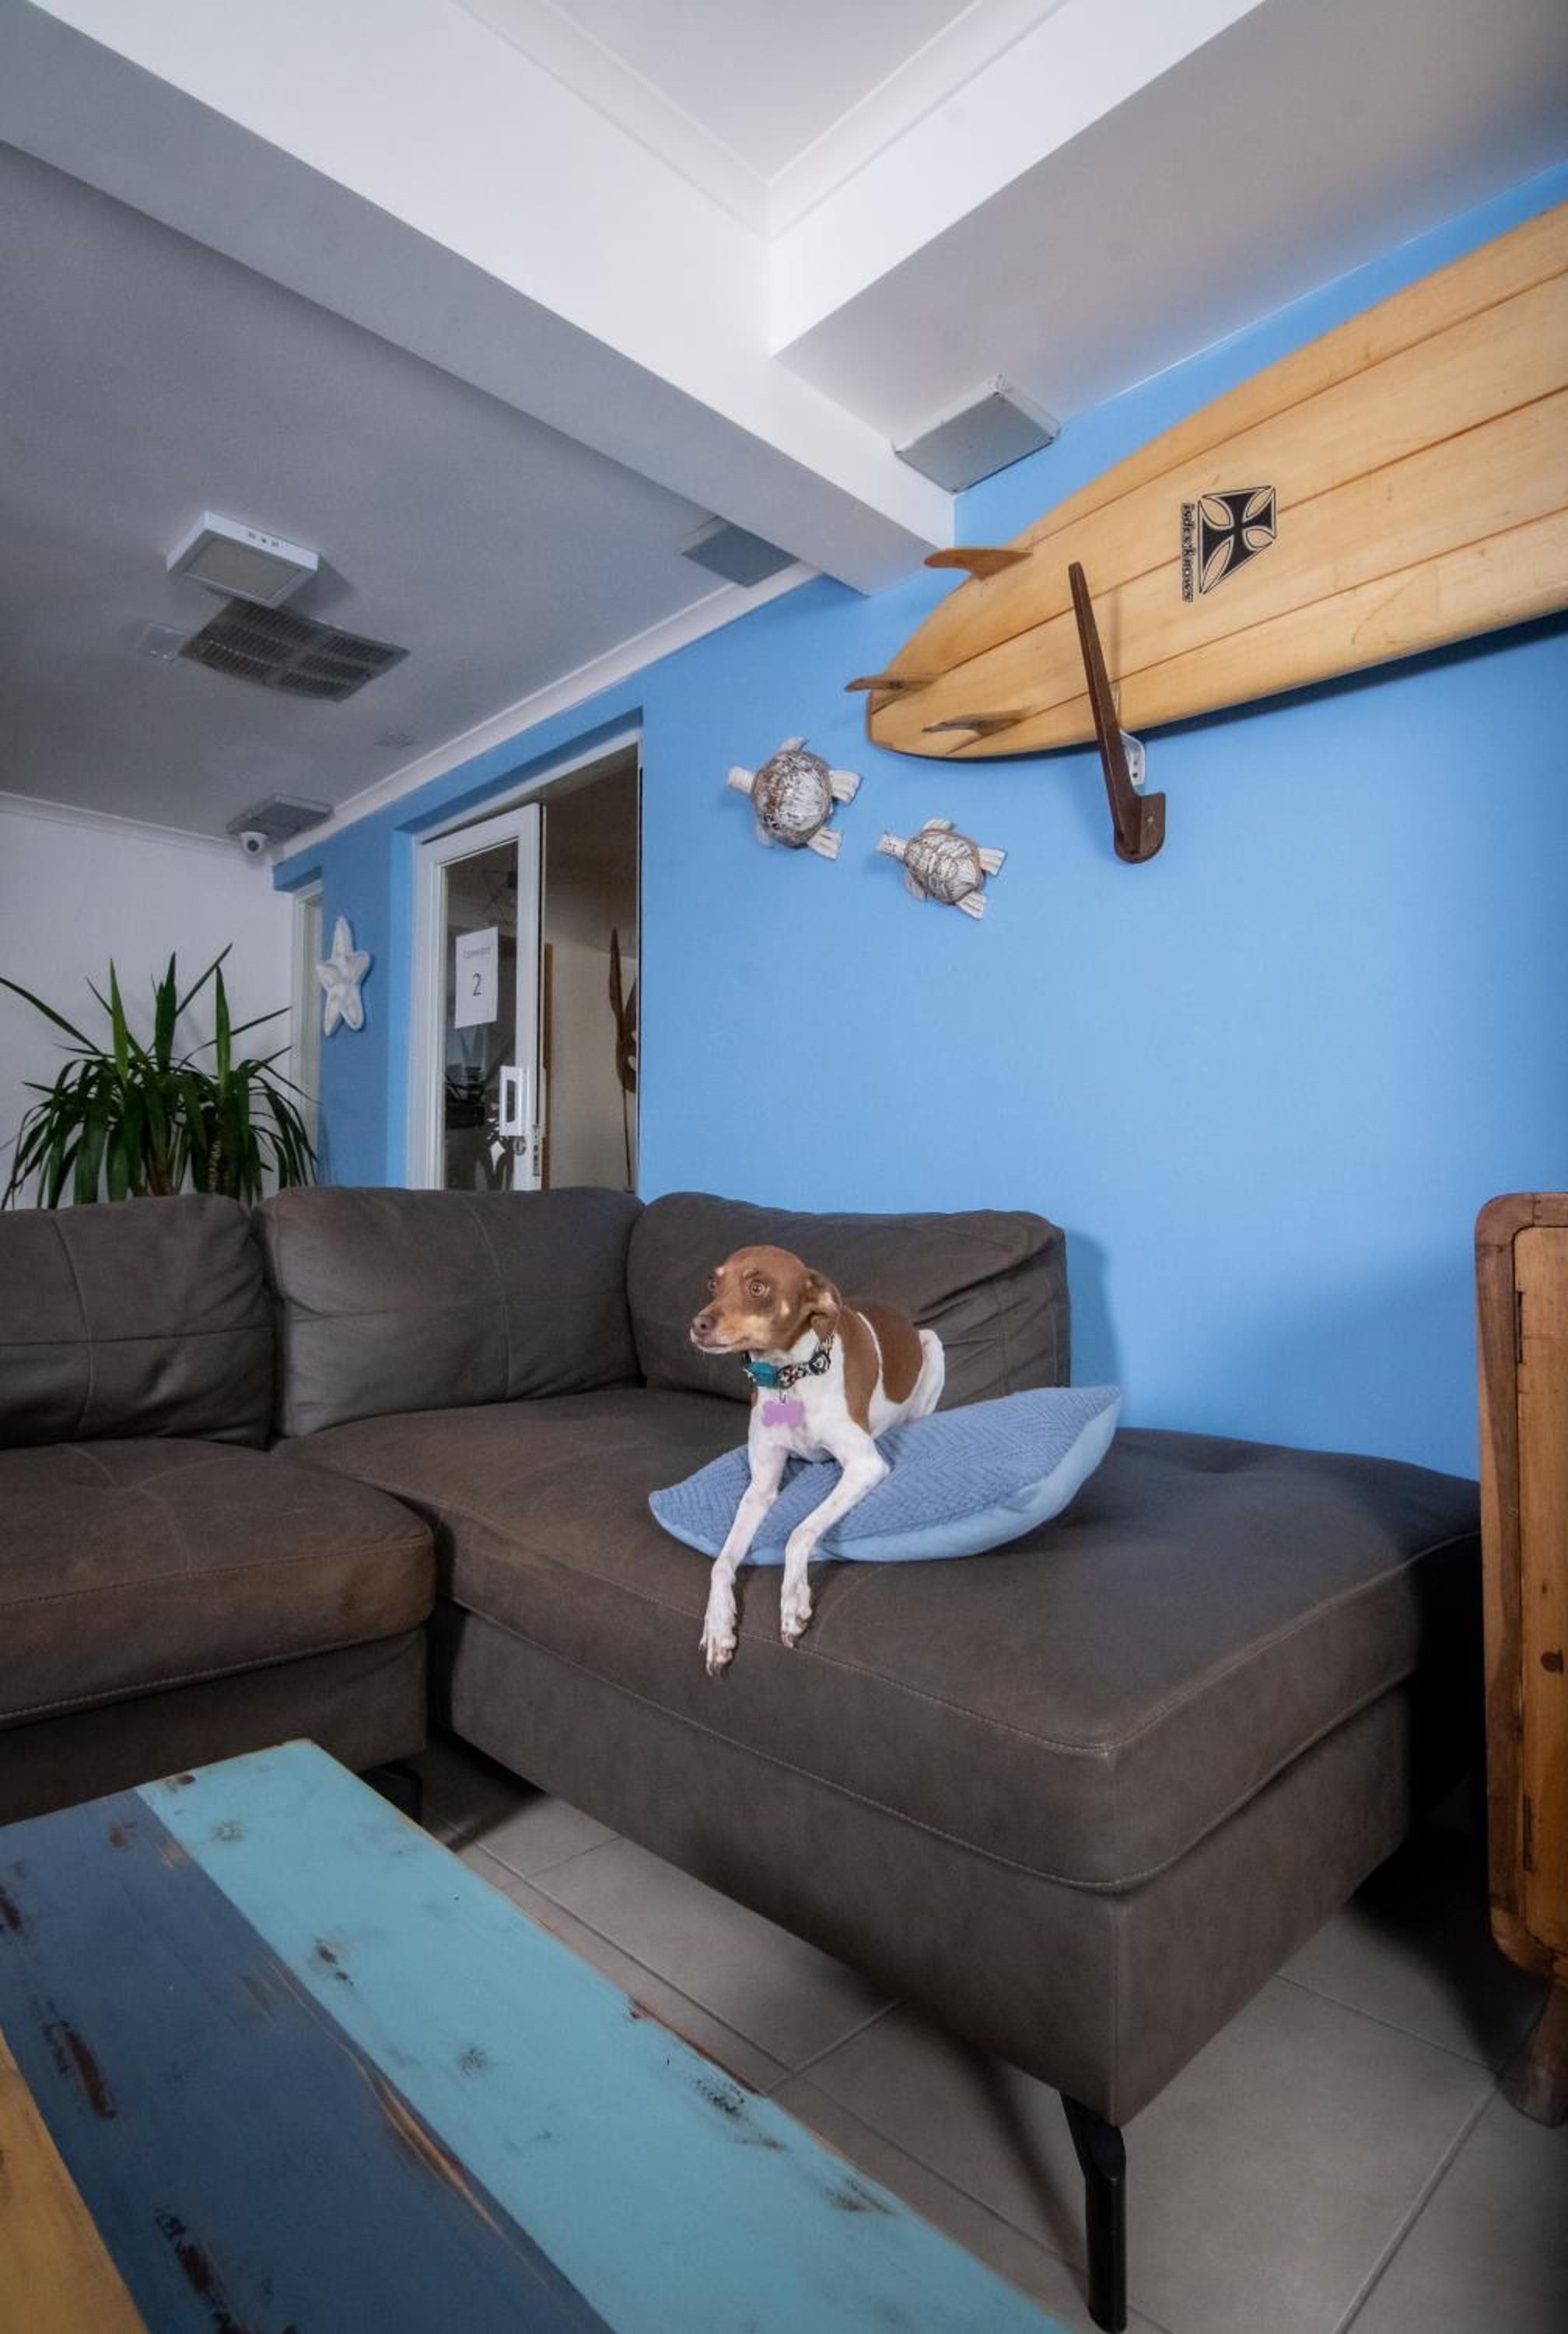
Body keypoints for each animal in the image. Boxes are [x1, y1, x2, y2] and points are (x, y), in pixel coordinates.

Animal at [689, 1244, 944, 1672]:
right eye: (712, 1282)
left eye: (758, 1287)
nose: (698, 1324)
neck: (791, 1376)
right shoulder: (760, 1488)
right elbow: (721, 1562)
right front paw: (719, 1624)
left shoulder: (865, 1465)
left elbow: (799, 1532)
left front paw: (793, 1602)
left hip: (933, 1343)